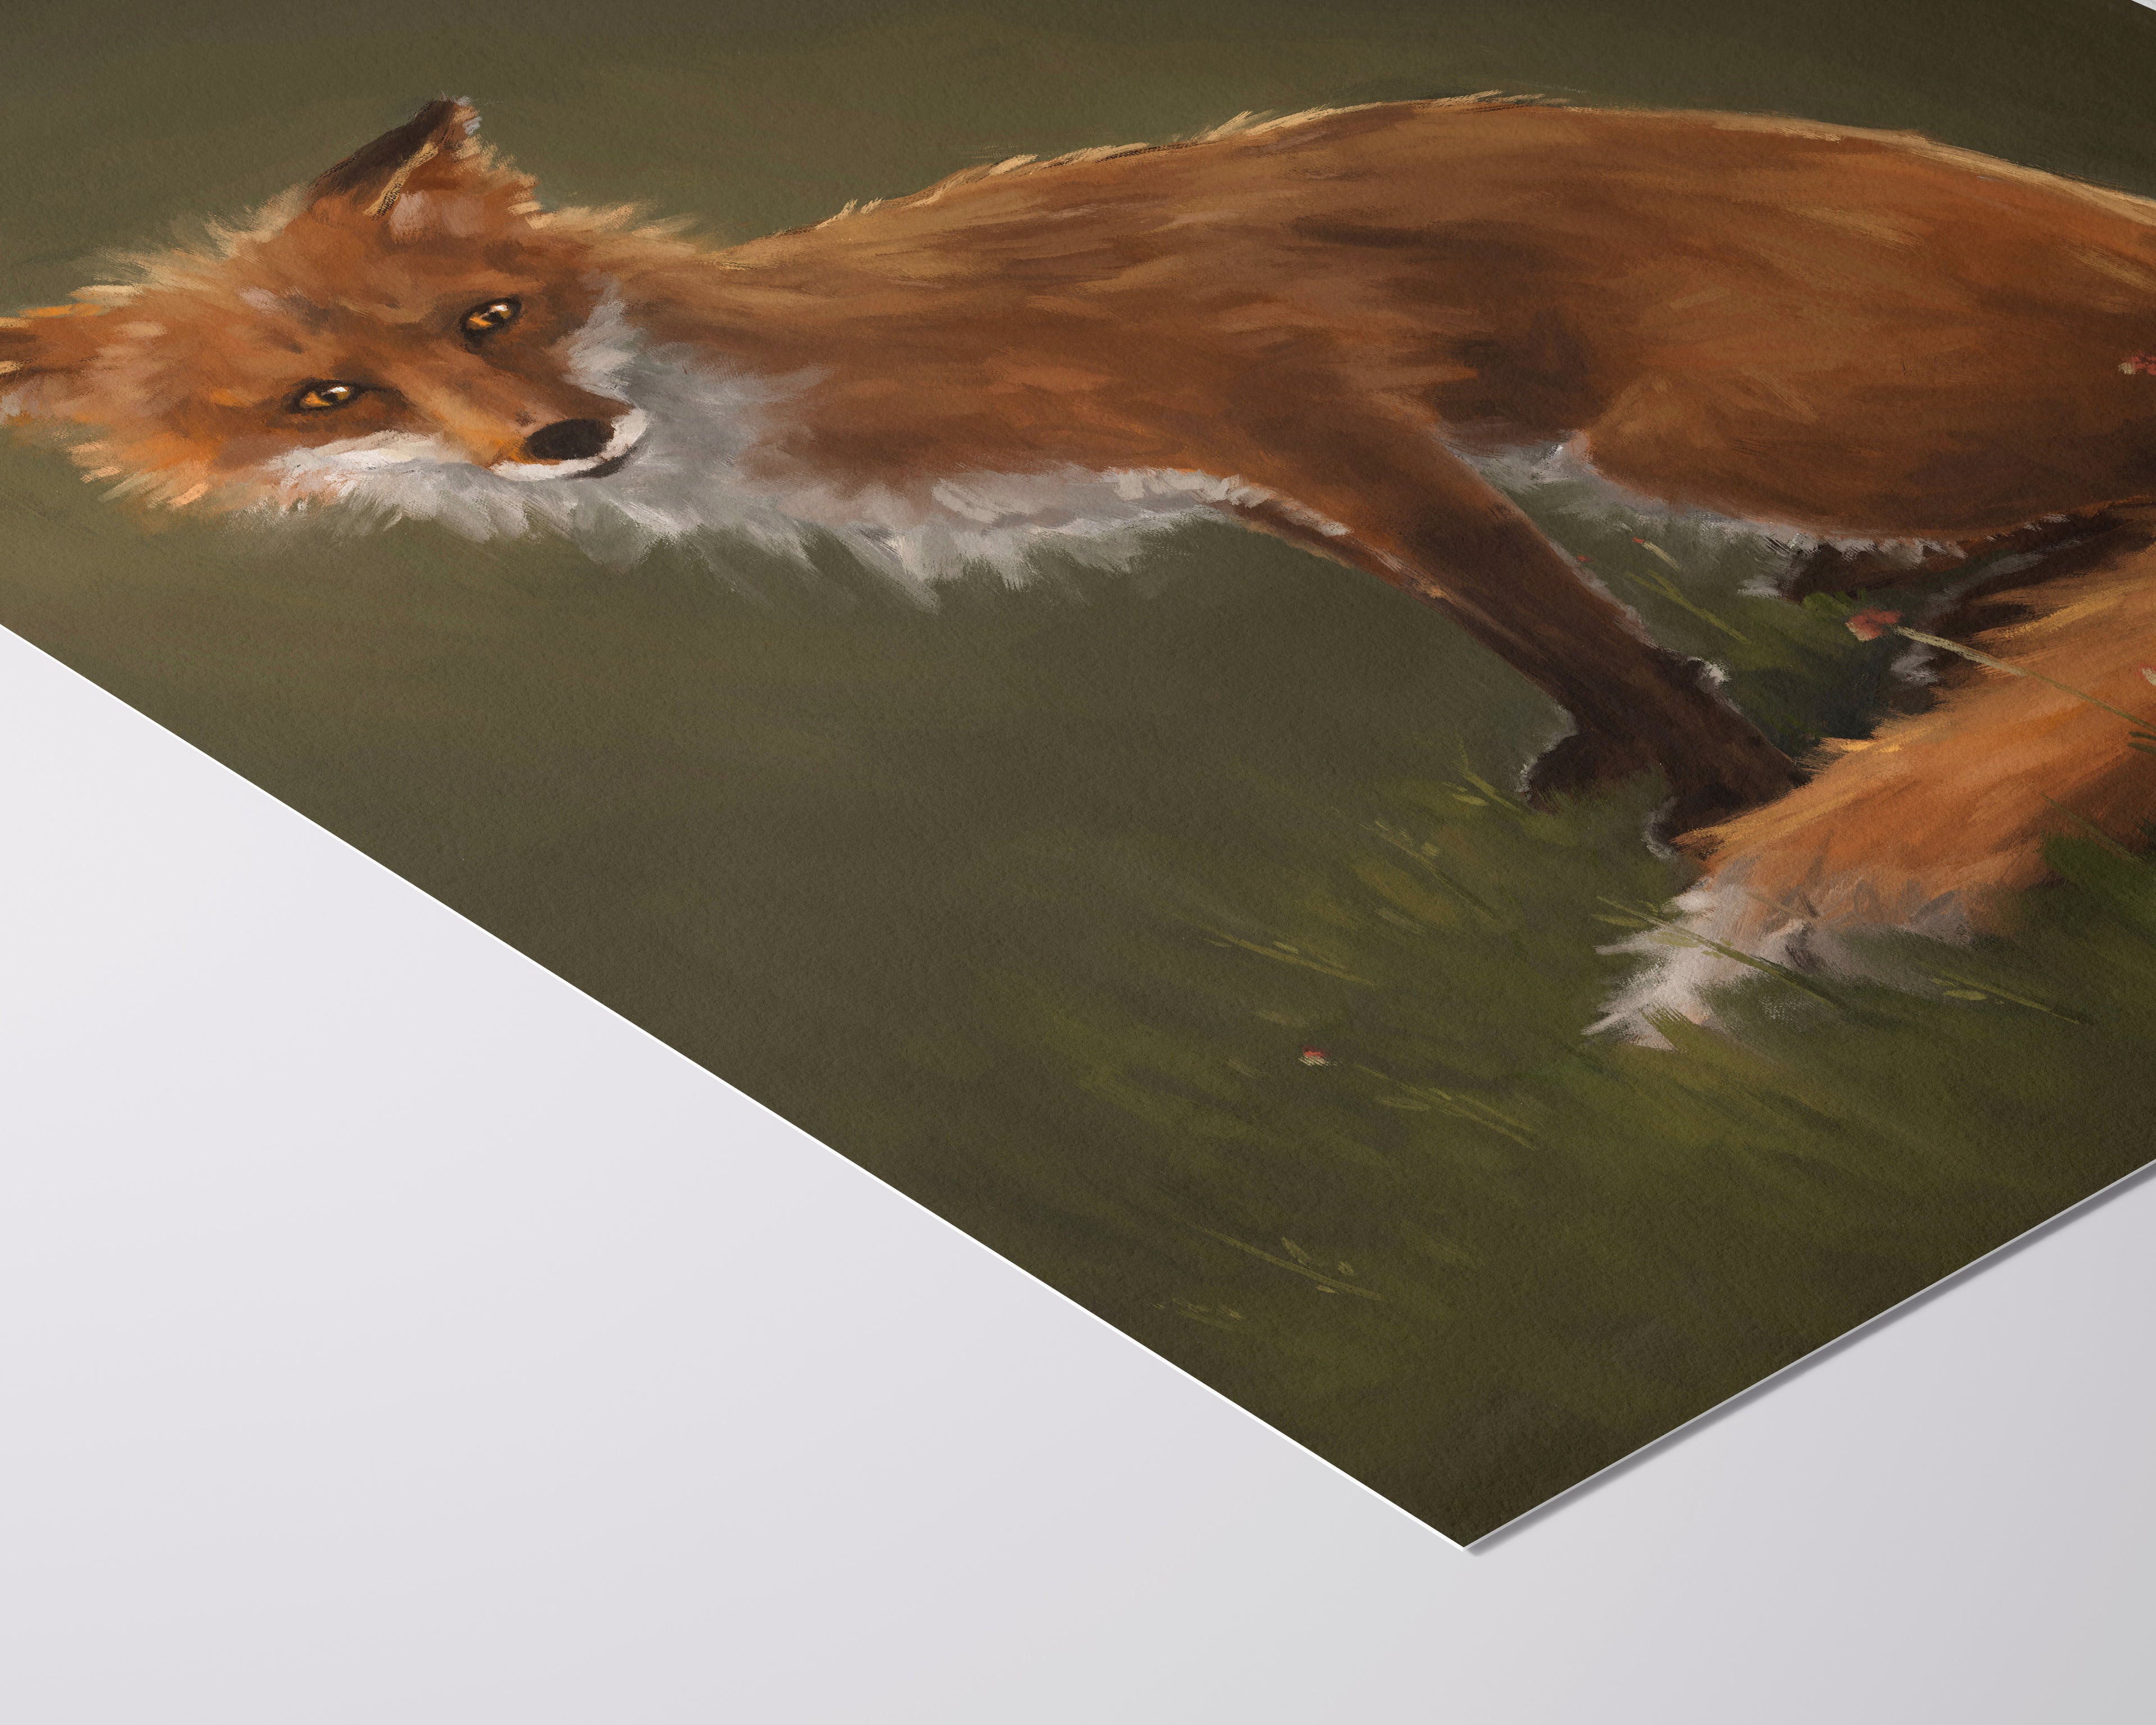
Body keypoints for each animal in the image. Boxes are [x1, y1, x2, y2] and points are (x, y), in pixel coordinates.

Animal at [5, 94, 2156, 1031]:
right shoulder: (1273, 482)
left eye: (492, 317)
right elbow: (1540, 636)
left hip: (1701, 428)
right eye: (325, 396)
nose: (564, 443)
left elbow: (1576, 626)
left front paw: (1721, 803)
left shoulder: (1308, 407)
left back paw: (1961, 612)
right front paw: (1647, 763)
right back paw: (1942, 611)